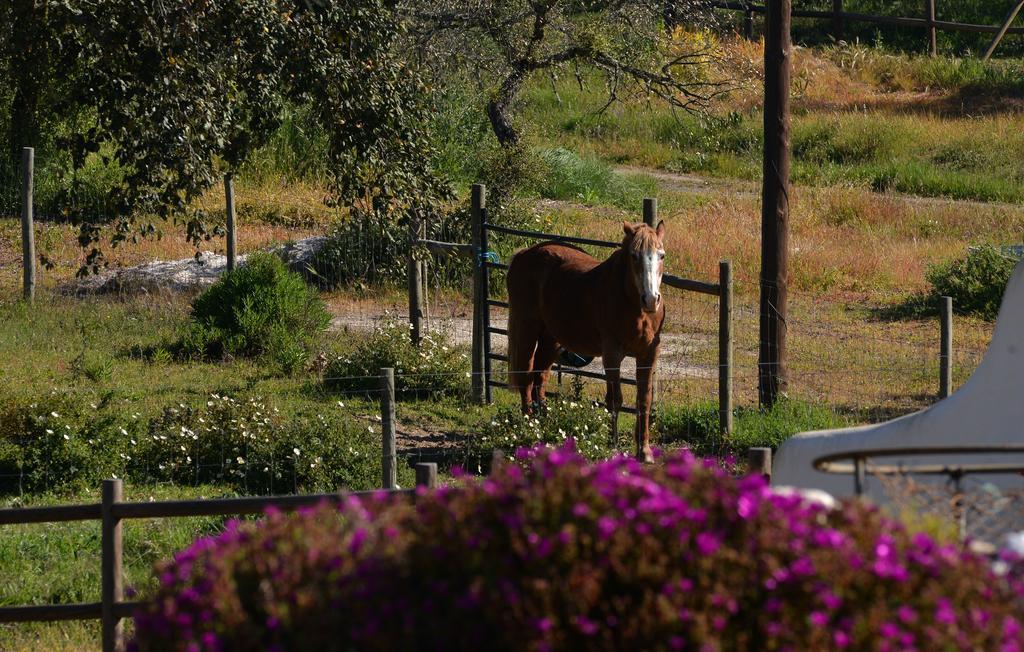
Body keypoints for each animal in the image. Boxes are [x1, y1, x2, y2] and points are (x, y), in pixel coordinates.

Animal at [505, 221, 667, 460]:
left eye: (661, 255)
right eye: (634, 255)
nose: (651, 299)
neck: (635, 308)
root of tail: (524, 253)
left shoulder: (648, 354)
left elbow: (643, 400)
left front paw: (644, 451)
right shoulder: (612, 354)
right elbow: (615, 399)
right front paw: (613, 446)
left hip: (551, 338)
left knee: (539, 377)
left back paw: (542, 425)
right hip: (527, 329)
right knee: (525, 378)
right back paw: (529, 429)